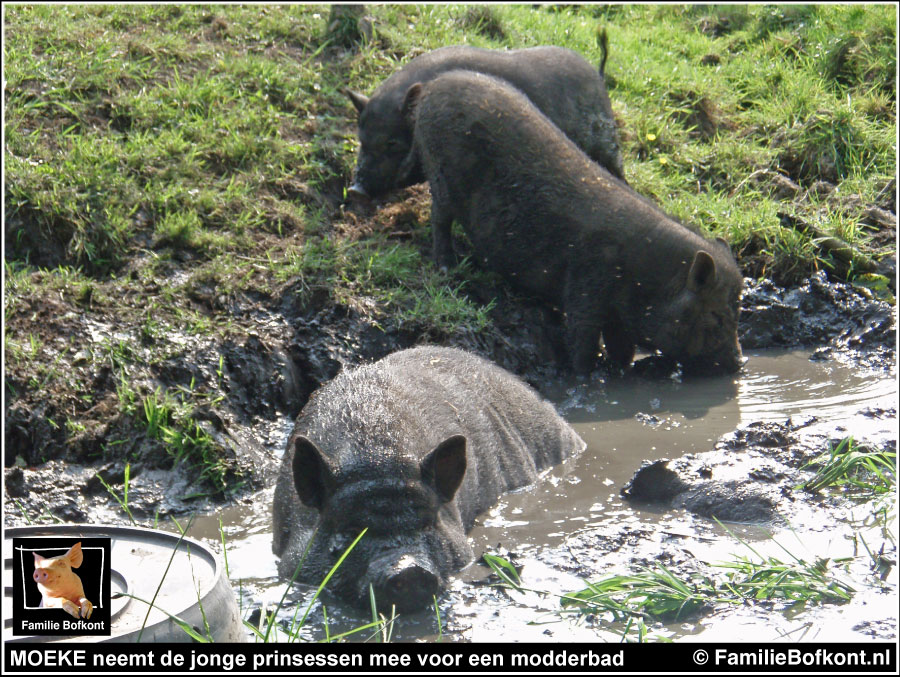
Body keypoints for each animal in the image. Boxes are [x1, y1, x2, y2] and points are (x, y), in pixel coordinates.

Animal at [404, 72, 740, 378]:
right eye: (717, 316)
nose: (738, 363)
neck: (651, 279)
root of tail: (431, 86)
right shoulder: (587, 283)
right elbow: (583, 341)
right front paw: (585, 377)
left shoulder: (618, 317)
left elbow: (623, 350)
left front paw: (620, 372)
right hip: (440, 173)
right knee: (439, 217)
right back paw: (446, 266)